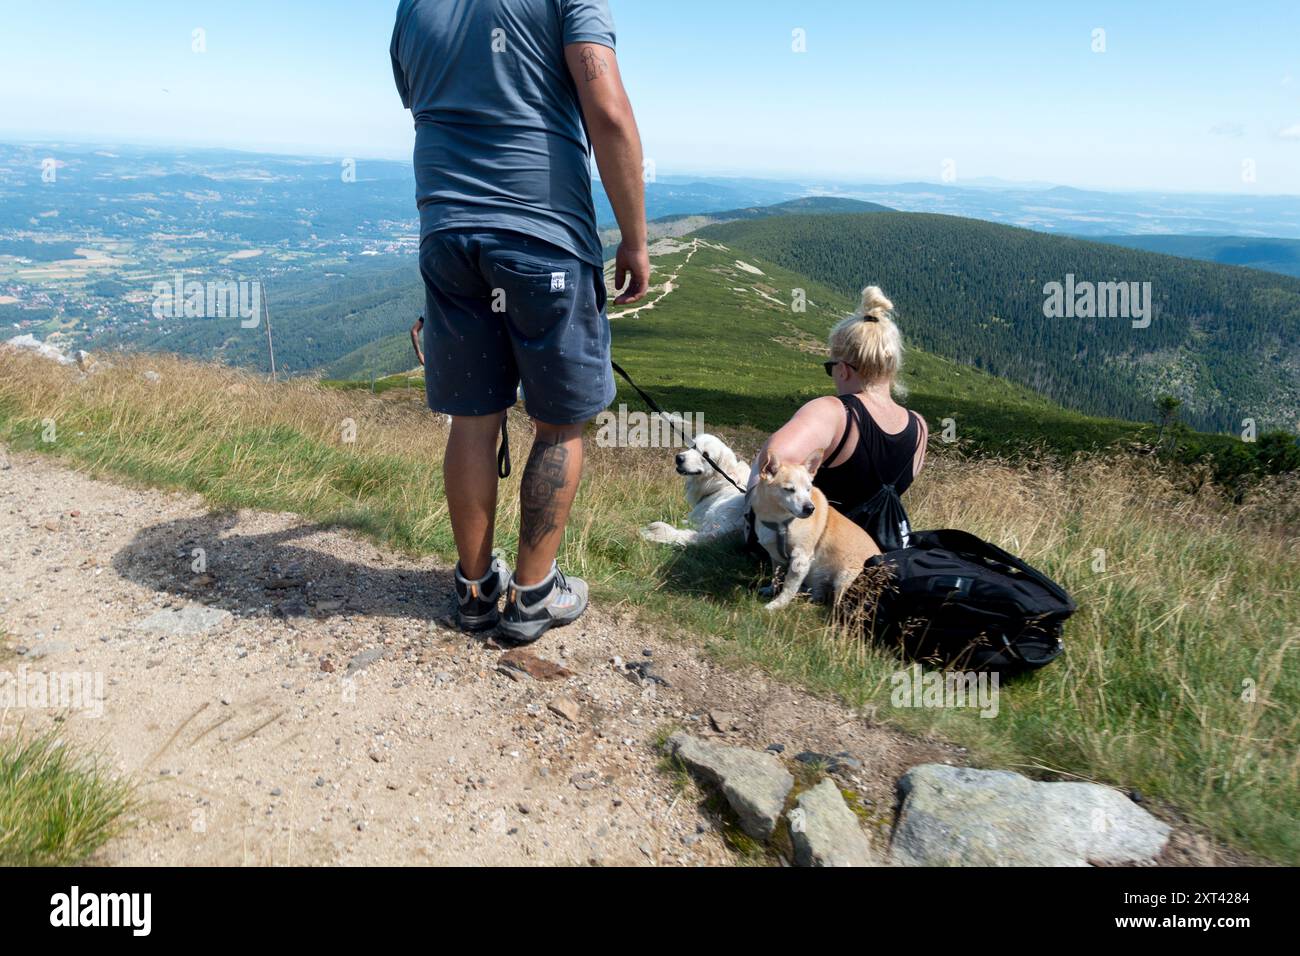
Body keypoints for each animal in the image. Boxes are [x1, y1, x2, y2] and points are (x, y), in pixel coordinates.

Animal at [748, 450, 878, 613]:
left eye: (808, 489)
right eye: (789, 490)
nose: (810, 508)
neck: (779, 521)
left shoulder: (800, 560)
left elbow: (788, 587)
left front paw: (778, 604)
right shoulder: (776, 557)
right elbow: (776, 576)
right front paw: (772, 590)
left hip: (845, 578)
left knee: (837, 604)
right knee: (819, 595)